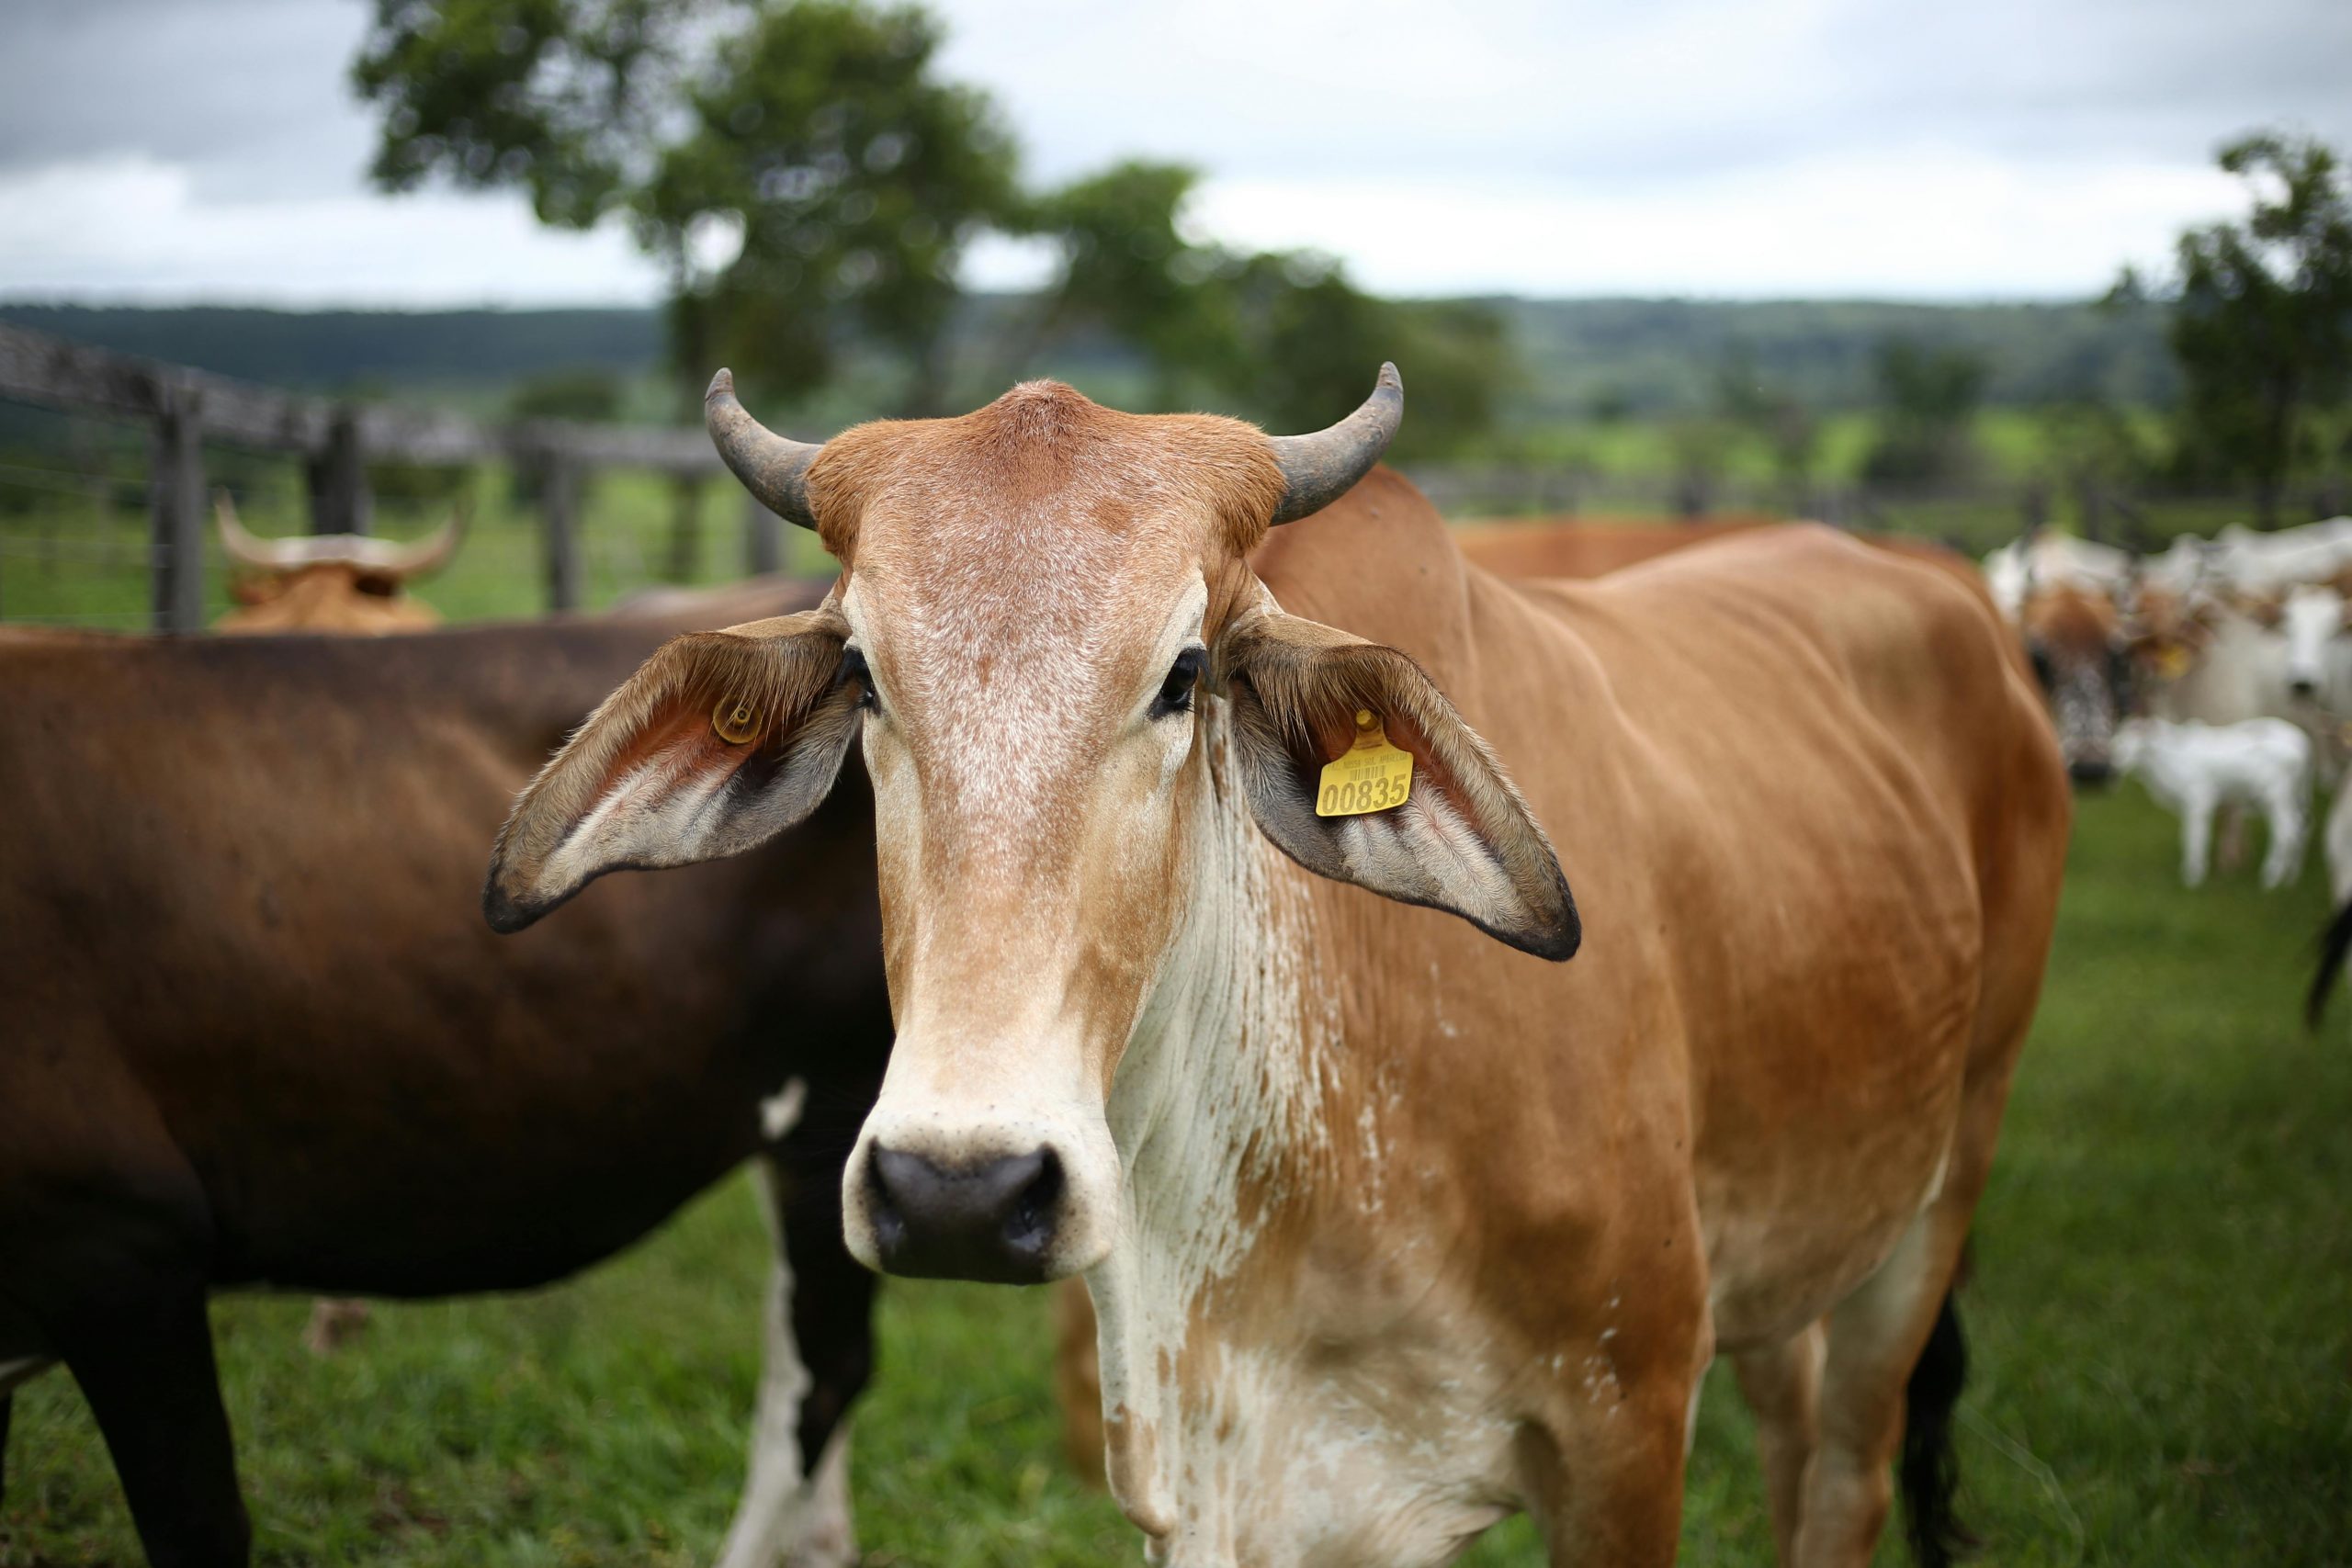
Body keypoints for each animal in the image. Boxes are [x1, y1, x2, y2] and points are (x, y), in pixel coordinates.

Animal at [492, 371, 2060, 1568]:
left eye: (1185, 673)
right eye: (869, 675)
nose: (958, 1188)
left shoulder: (1630, 1418)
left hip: (1940, 1190)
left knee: (1847, 1470)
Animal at [2117, 719, 2314, 888]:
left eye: (2133, 739)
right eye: (2117, 742)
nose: (2116, 764)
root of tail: (2303, 745)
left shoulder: (2198, 800)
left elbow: (2194, 837)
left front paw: (2192, 877)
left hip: (2275, 797)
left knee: (2286, 832)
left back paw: (2270, 878)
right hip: (2296, 796)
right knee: (2301, 829)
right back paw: (2291, 878)